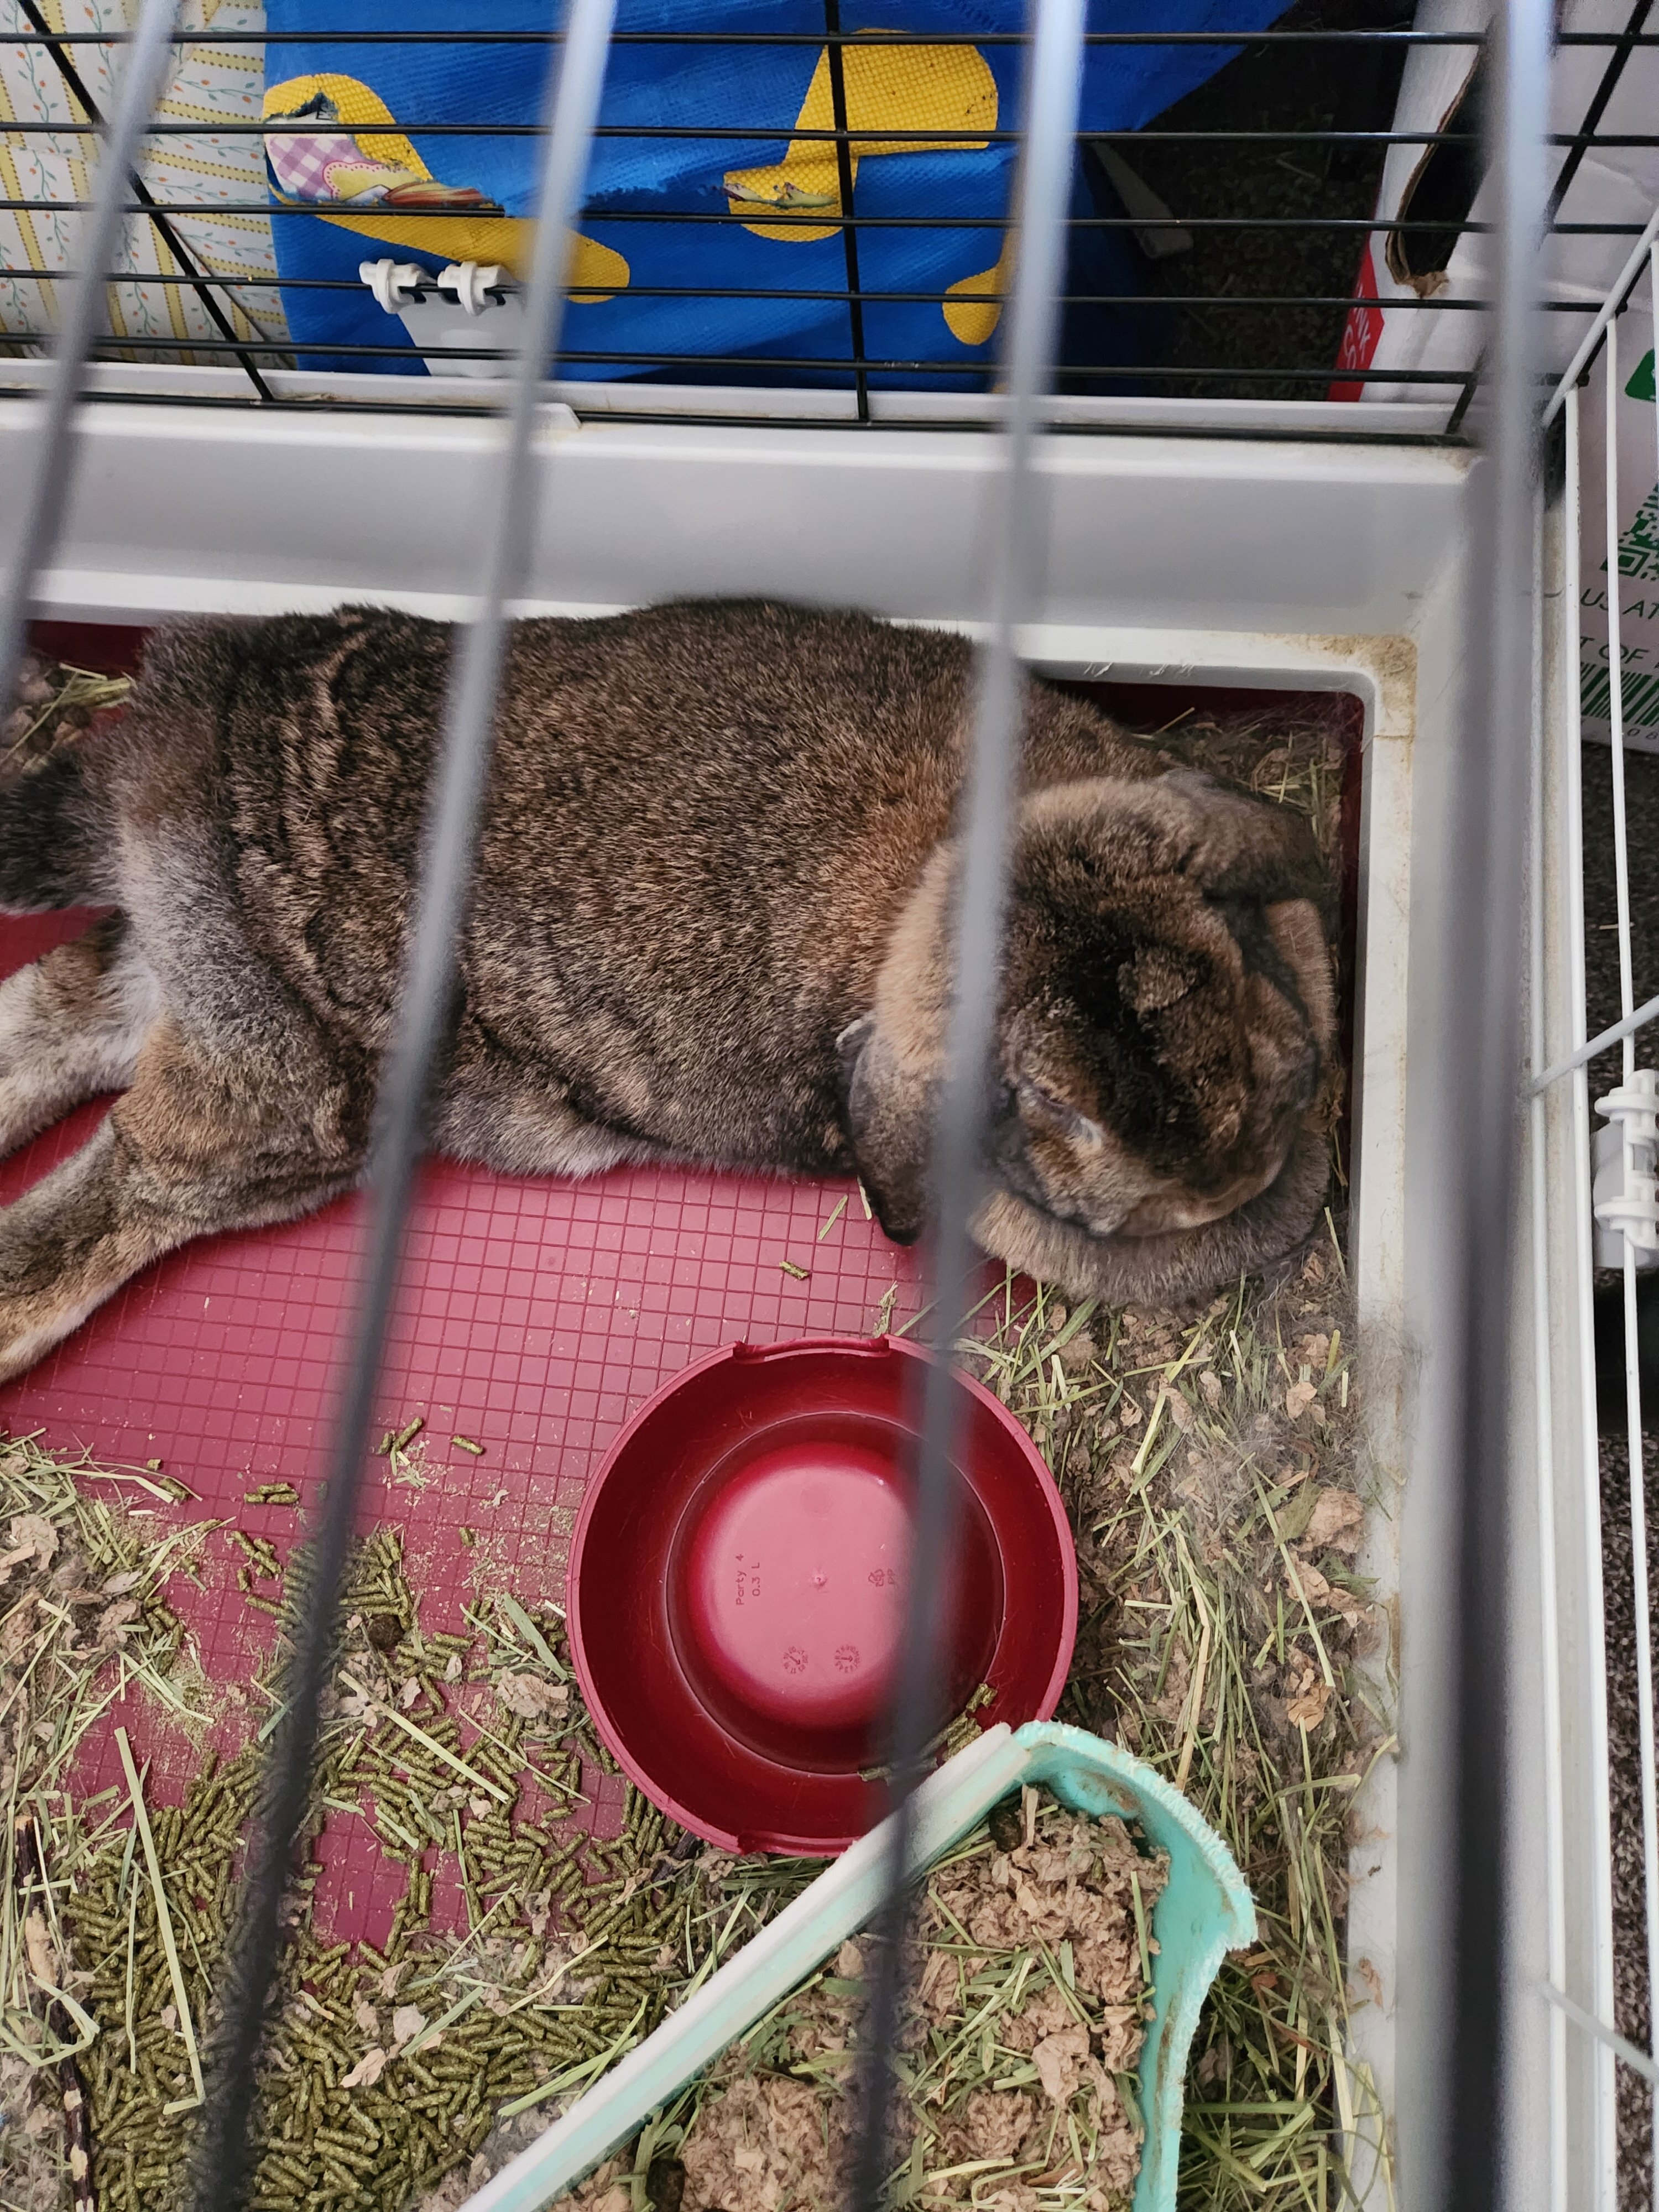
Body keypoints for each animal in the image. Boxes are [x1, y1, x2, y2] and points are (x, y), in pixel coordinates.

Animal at [0, 599, 1337, 1385]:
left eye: (1225, 960)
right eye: (1052, 1106)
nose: (1228, 1173)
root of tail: (172, 745)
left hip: (178, 991)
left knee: (54, 1022)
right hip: (284, 1108)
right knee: (114, 1196)